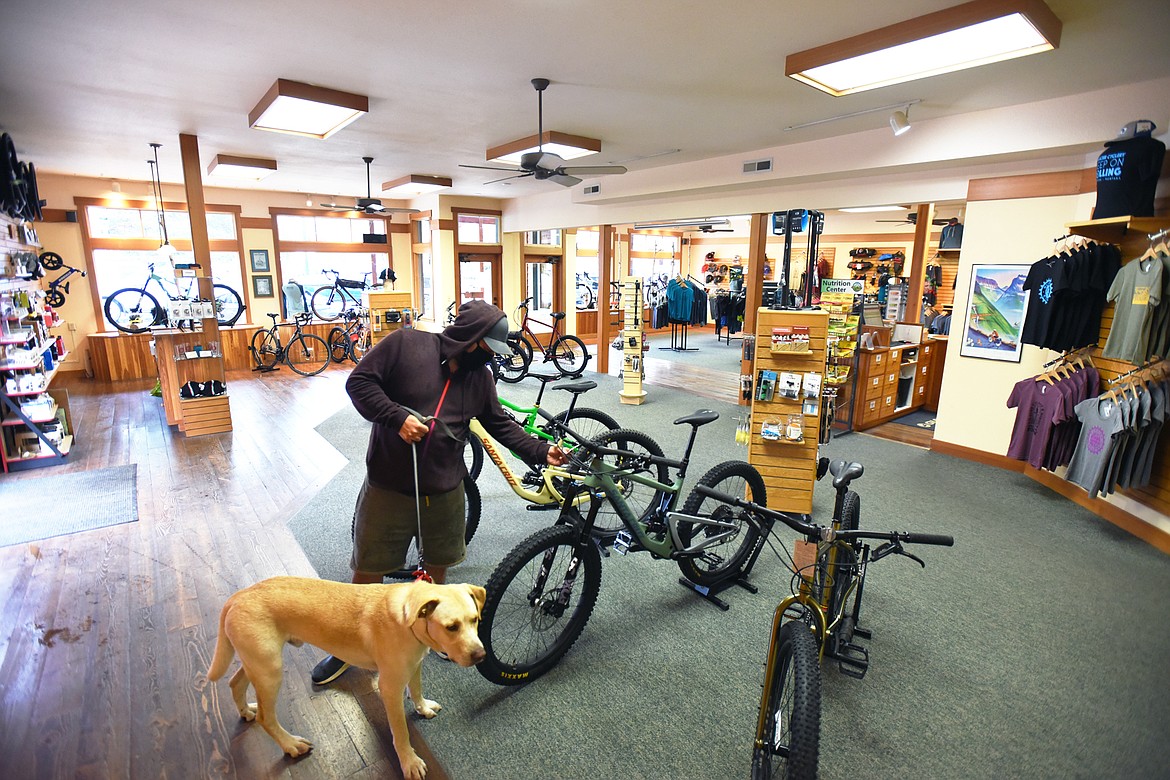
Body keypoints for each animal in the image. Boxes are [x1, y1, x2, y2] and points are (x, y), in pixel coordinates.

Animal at [209, 577, 484, 776]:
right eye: (451, 627)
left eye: (475, 620)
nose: (481, 655)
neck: (409, 619)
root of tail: (238, 596)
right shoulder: (390, 687)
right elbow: (401, 731)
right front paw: (409, 761)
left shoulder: (414, 665)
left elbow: (416, 689)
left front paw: (422, 707)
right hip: (269, 670)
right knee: (266, 718)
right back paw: (290, 745)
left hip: (257, 663)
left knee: (234, 682)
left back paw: (246, 711)